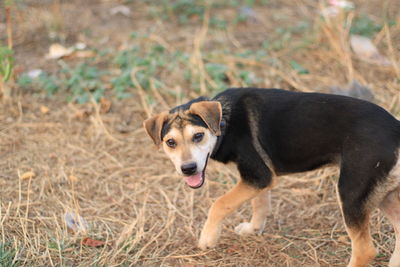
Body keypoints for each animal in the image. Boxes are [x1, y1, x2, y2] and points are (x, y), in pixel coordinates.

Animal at [143, 88, 400, 267]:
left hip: (352, 191)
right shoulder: (260, 177)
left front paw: (208, 238)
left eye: (198, 136)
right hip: (382, 193)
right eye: (170, 143)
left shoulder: (256, 175)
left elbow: (219, 204)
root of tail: (396, 131)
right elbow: (261, 203)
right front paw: (253, 228)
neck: (223, 122)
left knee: (365, 250)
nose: (188, 168)